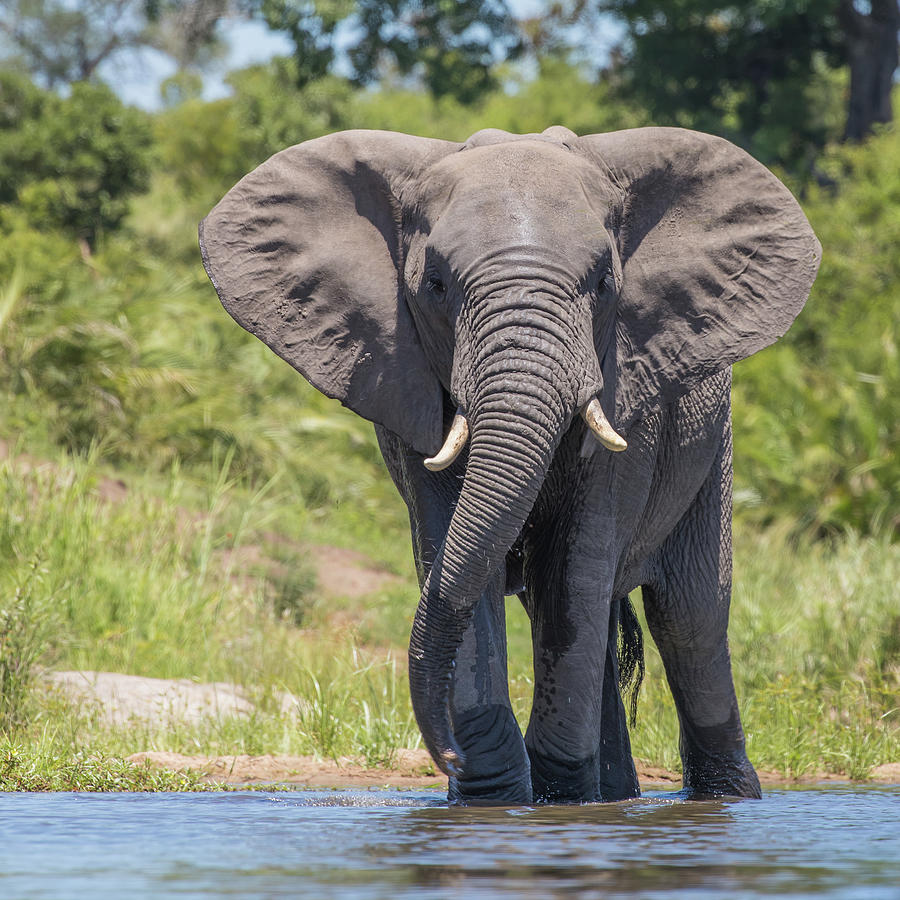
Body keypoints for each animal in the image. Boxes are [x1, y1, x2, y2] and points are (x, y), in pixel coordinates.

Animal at [200, 123, 820, 804]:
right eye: (436, 285)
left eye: (603, 283)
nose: (446, 754)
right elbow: (456, 560)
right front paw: (493, 798)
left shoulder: (629, 398)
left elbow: (571, 572)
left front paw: (553, 799)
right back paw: (615, 796)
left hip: (714, 445)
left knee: (688, 617)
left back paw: (718, 797)